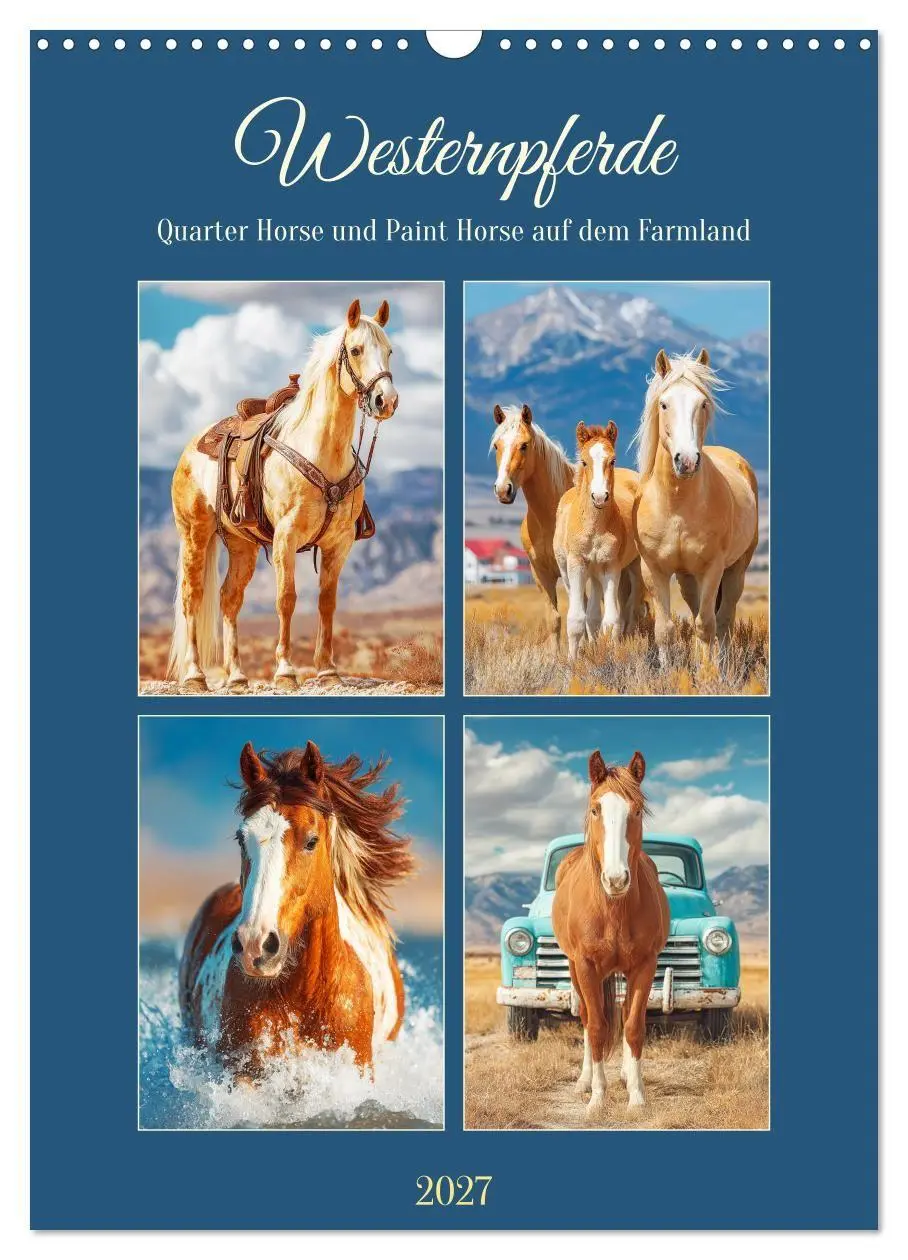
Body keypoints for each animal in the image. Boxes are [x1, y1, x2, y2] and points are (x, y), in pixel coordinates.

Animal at [168, 298, 399, 691]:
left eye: (389, 351)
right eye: (355, 350)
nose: (387, 401)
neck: (321, 451)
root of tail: (189, 449)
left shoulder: (338, 543)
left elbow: (326, 601)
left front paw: (328, 670)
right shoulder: (285, 538)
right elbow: (286, 599)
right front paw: (286, 671)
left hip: (240, 545)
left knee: (229, 599)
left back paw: (237, 677)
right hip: (195, 534)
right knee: (192, 597)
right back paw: (196, 676)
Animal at [552, 750, 669, 1116]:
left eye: (636, 810)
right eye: (595, 809)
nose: (616, 879)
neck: (613, 908)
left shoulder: (645, 965)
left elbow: (633, 1027)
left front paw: (637, 1096)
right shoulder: (586, 966)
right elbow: (597, 1027)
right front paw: (597, 1098)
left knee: (625, 1014)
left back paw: (627, 1074)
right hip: (575, 968)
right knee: (589, 1020)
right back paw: (585, 1081)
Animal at [553, 421, 644, 661]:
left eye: (612, 460)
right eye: (584, 461)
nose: (600, 497)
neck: (594, 526)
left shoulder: (610, 566)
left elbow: (611, 620)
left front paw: (609, 655)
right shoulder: (577, 565)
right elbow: (576, 619)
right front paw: (573, 663)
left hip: (620, 568)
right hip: (570, 571)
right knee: (587, 613)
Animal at [632, 349, 759, 663]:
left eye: (702, 403)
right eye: (664, 404)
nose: (687, 461)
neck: (676, 505)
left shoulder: (713, 568)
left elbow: (706, 626)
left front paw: (708, 671)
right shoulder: (654, 570)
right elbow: (665, 630)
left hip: (736, 569)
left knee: (724, 620)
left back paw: (722, 663)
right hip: (687, 578)